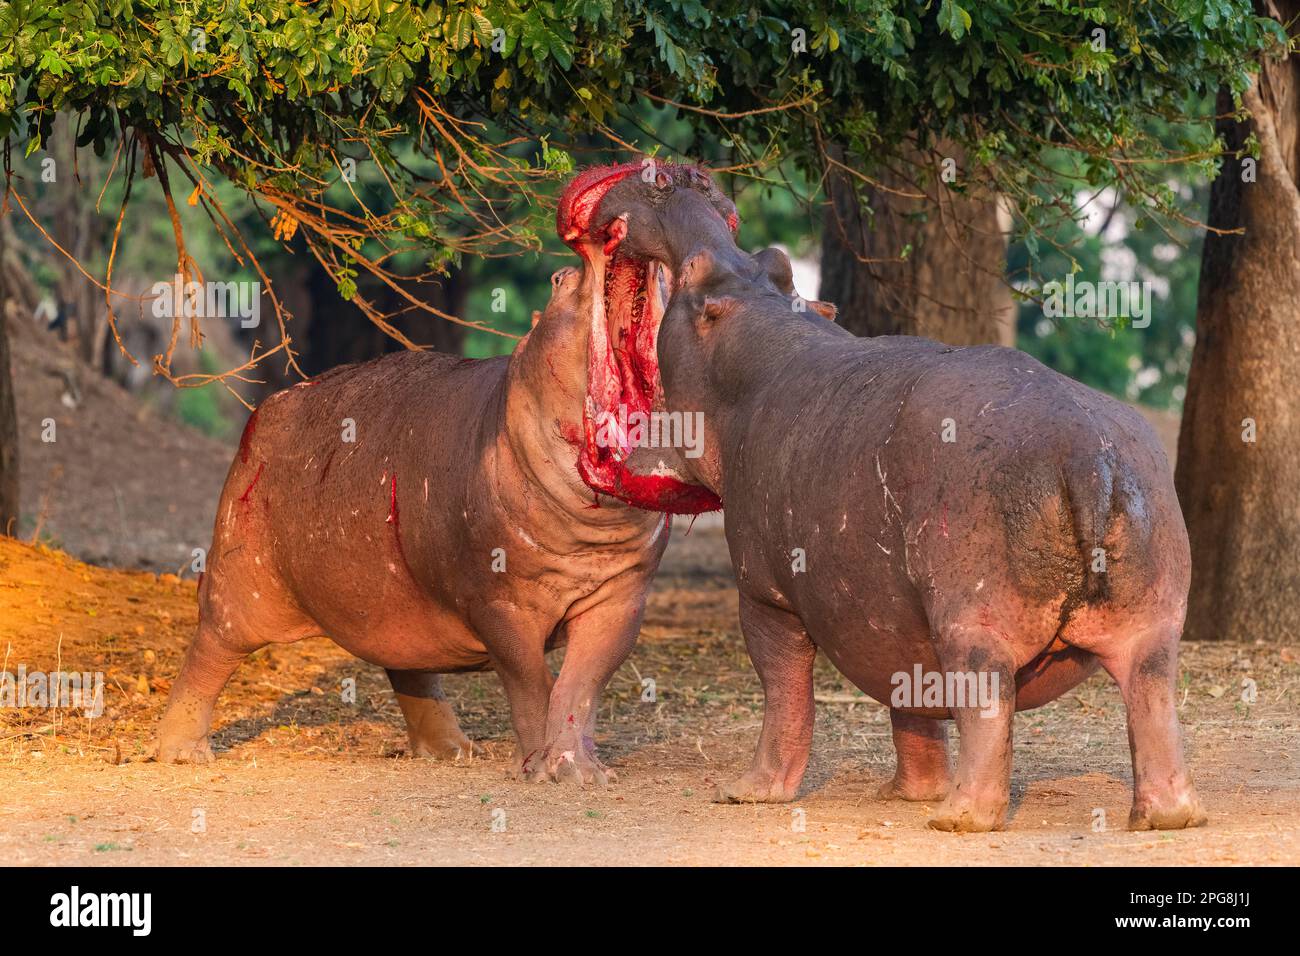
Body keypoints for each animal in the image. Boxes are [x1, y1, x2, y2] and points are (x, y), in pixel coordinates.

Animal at [154, 170, 727, 782]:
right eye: (557, 279)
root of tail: (268, 406)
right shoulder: (498, 603)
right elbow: (531, 684)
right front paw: (537, 767)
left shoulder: (621, 599)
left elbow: (581, 684)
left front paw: (579, 772)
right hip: (238, 582)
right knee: (208, 654)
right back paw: (178, 753)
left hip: (394, 601)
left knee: (408, 668)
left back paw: (452, 751)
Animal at [573, 165, 1205, 832]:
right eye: (775, 262)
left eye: (697, 277)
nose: (675, 177)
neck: (758, 333)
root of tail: (1085, 453)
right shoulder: (892, 613)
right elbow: (912, 703)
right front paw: (907, 793)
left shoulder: (765, 593)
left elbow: (784, 692)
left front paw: (746, 792)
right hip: (1153, 617)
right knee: (1151, 698)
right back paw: (1164, 817)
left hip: (972, 620)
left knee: (987, 705)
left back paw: (959, 818)